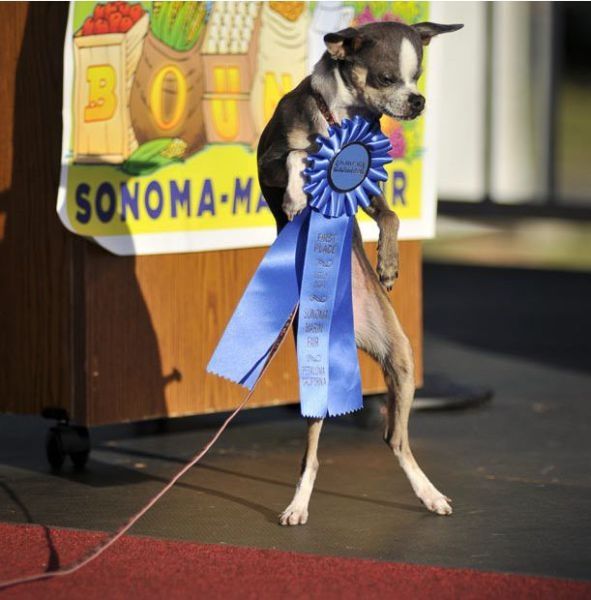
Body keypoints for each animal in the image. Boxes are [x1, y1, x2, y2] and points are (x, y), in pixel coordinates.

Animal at [256, 22, 464, 524]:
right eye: (387, 78)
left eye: (417, 76)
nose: (418, 100)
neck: (341, 116)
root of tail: (349, 333)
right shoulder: (268, 161)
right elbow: (296, 156)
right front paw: (296, 196)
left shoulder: (366, 183)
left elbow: (391, 216)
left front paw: (388, 263)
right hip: (314, 381)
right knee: (310, 457)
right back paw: (297, 506)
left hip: (402, 360)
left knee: (395, 439)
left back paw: (429, 494)